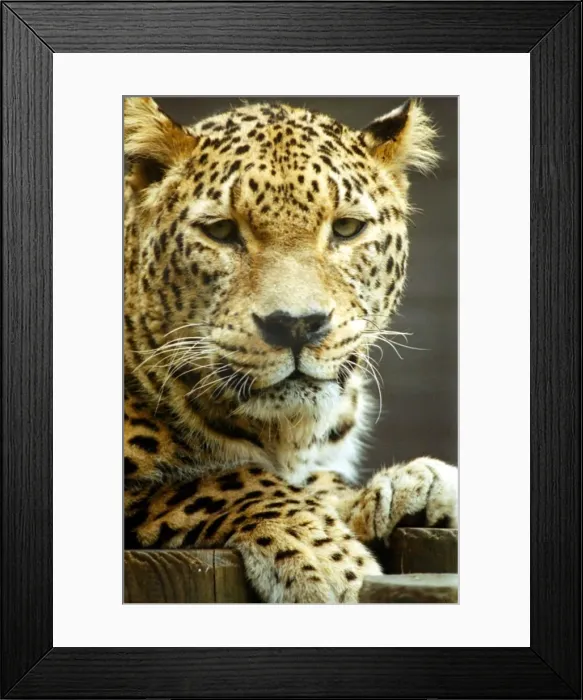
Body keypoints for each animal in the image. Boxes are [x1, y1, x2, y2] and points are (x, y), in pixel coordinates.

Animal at [124, 96, 458, 603]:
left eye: (346, 228)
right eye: (221, 231)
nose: (297, 325)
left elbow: (317, 480)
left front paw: (406, 488)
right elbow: (225, 479)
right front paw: (329, 559)